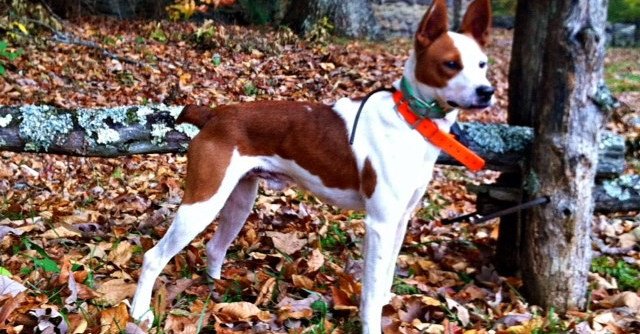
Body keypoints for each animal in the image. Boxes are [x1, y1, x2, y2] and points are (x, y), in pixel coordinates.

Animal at [131, 0, 496, 332]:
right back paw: (139, 313)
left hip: (239, 200)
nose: (487, 91)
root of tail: (214, 114)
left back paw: (216, 293)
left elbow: (386, 277)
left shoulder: (400, 220)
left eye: (482, 64)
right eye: (450, 64)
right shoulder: (380, 223)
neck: (410, 121)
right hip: (202, 203)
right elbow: (370, 293)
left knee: (214, 248)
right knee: (153, 257)